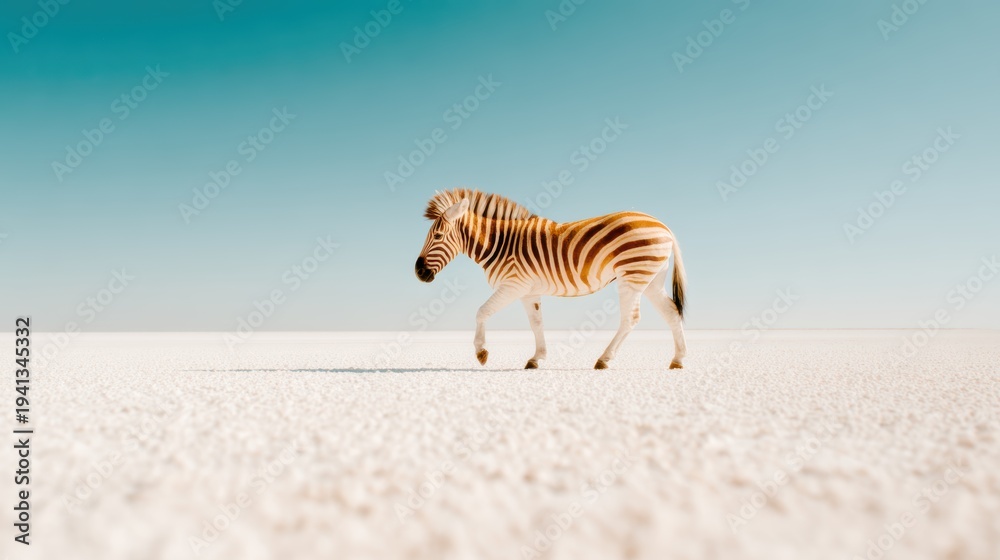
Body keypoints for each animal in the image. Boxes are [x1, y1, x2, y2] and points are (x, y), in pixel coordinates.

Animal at [414, 188, 687, 370]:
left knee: (631, 319)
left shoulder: (513, 285)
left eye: (437, 236)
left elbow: (482, 311)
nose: (418, 272)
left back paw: (604, 359)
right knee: (672, 312)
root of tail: (664, 227)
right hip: (651, 279)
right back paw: (678, 360)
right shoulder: (528, 291)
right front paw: (537, 358)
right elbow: (537, 323)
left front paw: (481, 352)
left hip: (632, 276)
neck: (499, 243)